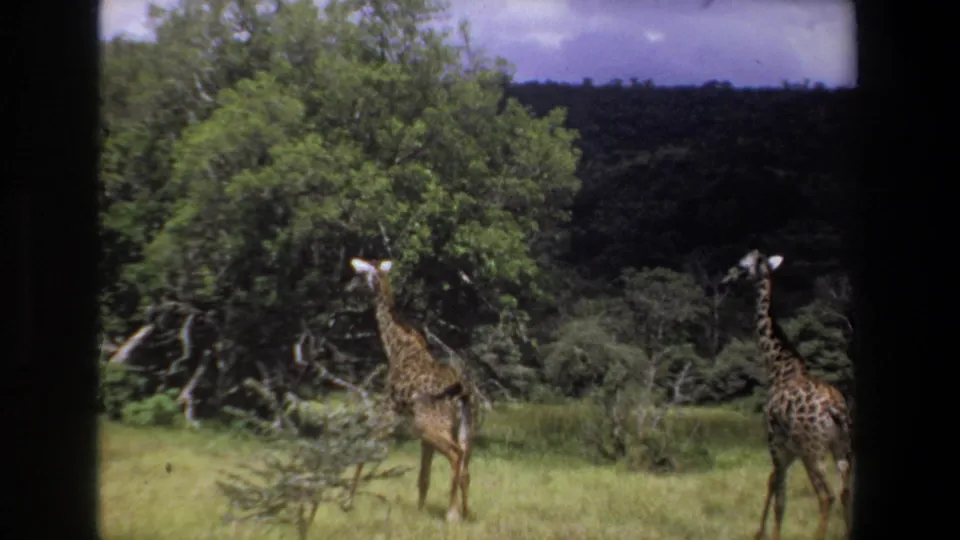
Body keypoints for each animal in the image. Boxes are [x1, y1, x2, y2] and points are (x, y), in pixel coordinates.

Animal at [345, 257, 478, 522]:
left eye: (359, 275)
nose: (347, 288)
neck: (395, 348)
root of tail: (463, 395)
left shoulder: (388, 410)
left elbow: (365, 450)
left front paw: (347, 502)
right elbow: (423, 476)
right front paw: (419, 512)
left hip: (429, 425)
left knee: (456, 455)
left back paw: (452, 514)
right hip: (464, 429)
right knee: (465, 466)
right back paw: (466, 513)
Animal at [722, 250, 853, 540]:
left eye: (741, 265)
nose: (726, 279)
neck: (780, 366)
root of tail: (835, 411)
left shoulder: (775, 441)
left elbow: (779, 496)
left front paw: (765, 534)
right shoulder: (788, 449)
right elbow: (774, 483)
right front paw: (760, 532)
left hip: (812, 449)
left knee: (826, 497)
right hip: (842, 447)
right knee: (845, 493)